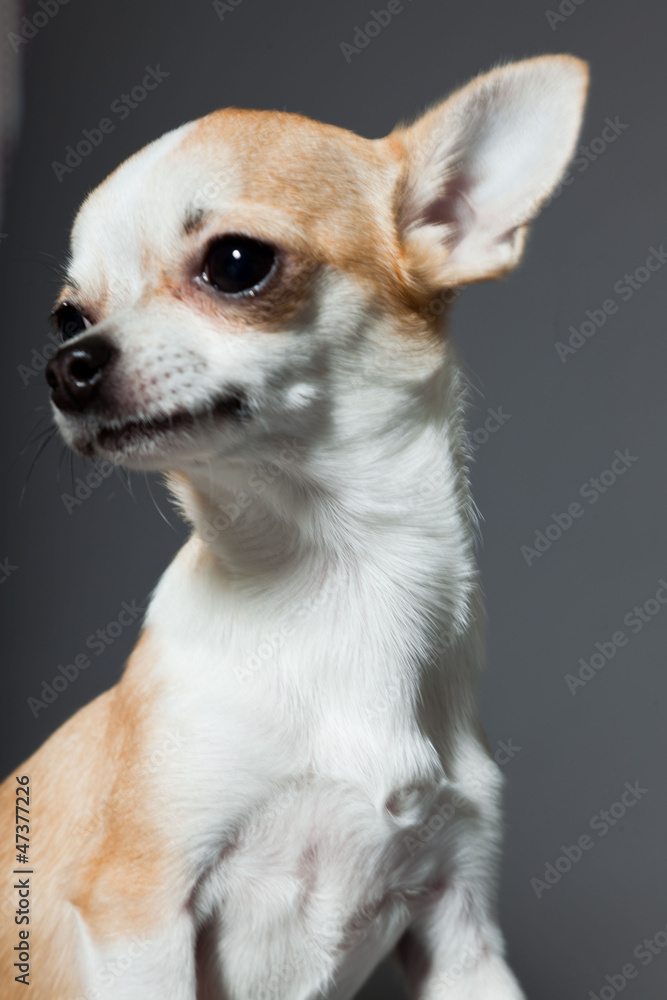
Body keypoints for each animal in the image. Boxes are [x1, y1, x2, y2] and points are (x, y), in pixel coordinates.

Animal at [0, 56, 588, 1000]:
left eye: (237, 262)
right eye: (68, 316)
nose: (65, 366)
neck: (338, 580)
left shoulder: (461, 933)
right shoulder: (138, 911)